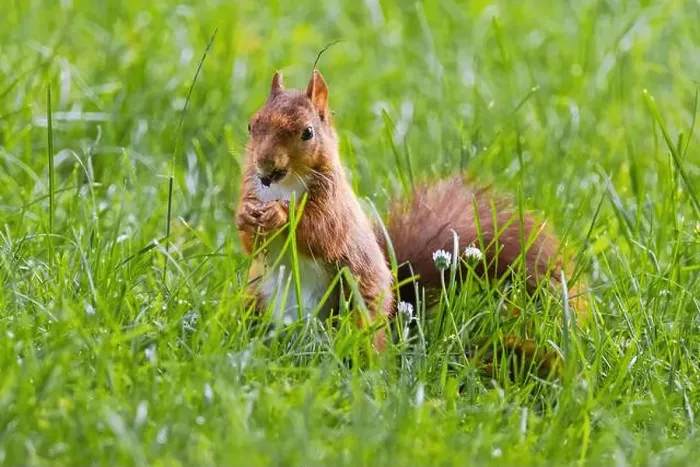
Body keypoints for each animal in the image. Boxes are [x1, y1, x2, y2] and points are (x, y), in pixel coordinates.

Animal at [236, 68, 587, 354]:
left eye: (307, 133)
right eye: (251, 125)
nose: (265, 167)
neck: (283, 186)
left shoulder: (333, 206)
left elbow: (320, 232)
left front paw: (281, 216)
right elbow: (251, 244)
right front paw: (245, 216)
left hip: (355, 301)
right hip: (256, 296)